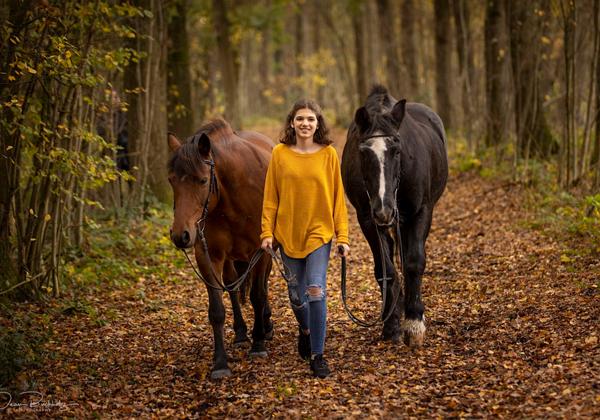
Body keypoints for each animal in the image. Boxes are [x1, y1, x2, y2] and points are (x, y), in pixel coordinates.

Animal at [168, 117, 274, 378]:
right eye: (171, 180)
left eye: (203, 180)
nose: (180, 235)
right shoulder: (209, 255)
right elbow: (216, 310)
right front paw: (220, 363)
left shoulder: (261, 251)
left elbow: (258, 295)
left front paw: (258, 344)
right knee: (233, 287)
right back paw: (240, 333)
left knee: (263, 286)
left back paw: (265, 325)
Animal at [340, 86, 448, 348]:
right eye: (363, 152)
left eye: (397, 150)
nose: (384, 209)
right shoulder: (367, 219)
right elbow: (386, 269)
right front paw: (391, 325)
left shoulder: (421, 212)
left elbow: (414, 262)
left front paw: (415, 322)